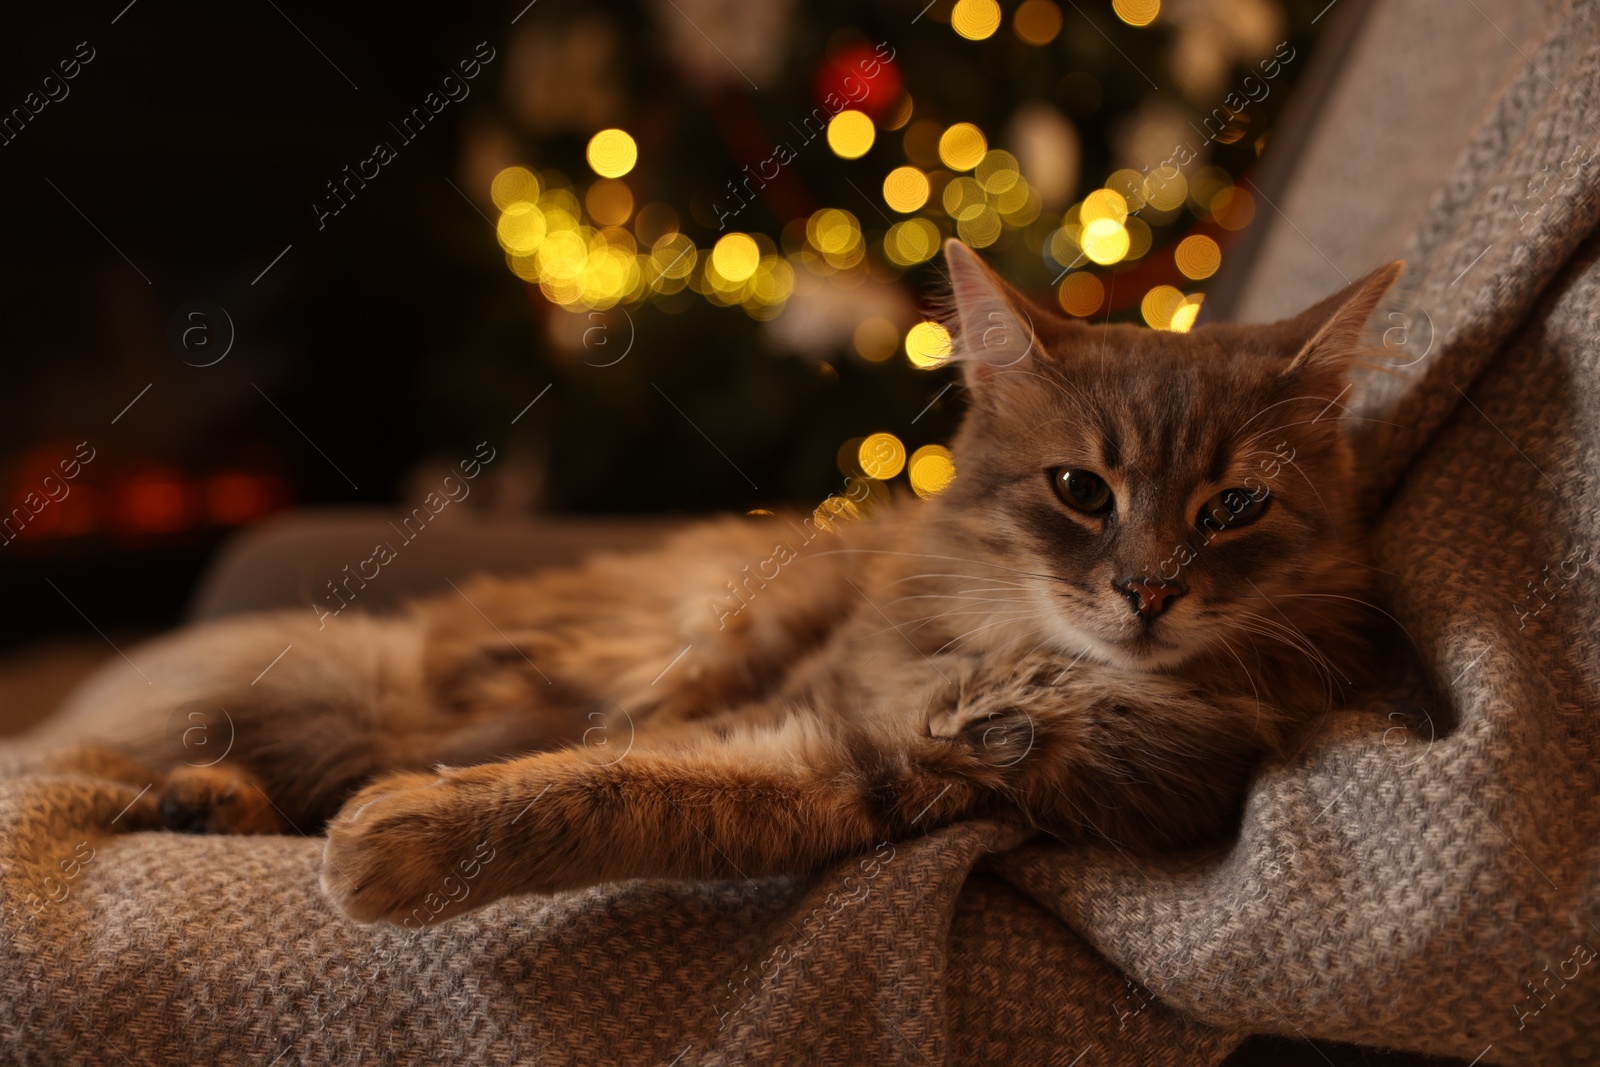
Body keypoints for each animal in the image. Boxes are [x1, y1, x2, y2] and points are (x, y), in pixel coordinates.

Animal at [28, 238, 1401, 921]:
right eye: (1081, 491)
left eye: (1232, 508)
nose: (1149, 590)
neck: (1019, 663)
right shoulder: (807, 705)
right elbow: (595, 769)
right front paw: (398, 826)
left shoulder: (864, 778)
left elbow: (624, 793)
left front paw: (399, 840)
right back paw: (207, 796)